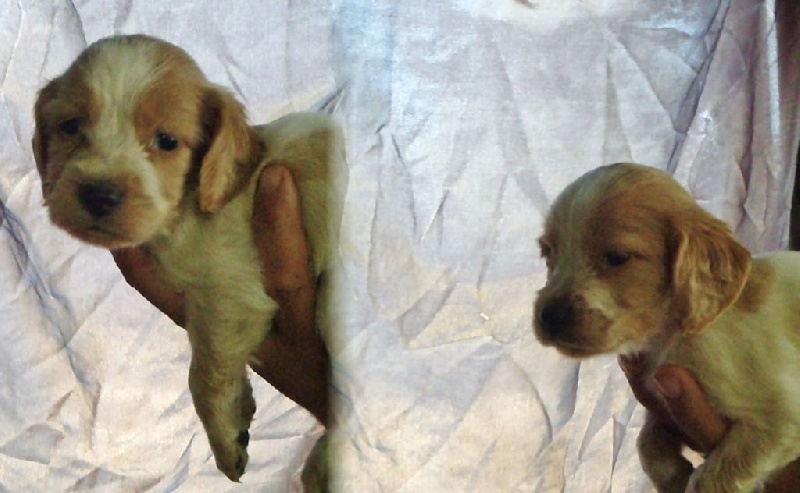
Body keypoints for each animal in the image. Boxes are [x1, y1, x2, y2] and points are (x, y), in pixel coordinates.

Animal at [32, 34, 345, 482]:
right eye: (71, 127)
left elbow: (204, 374)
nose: (99, 194)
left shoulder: (229, 292)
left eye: (166, 141)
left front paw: (225, 439)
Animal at [534, 163, 800, 492]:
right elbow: (645, 441)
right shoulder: (660, 402)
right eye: (548, 253)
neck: (672, 337)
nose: (547, 316)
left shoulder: (780, 415)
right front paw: (673, 474)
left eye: (617, 257)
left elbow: (708, 480)